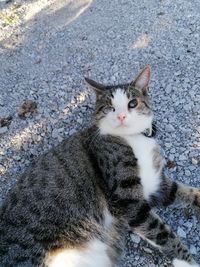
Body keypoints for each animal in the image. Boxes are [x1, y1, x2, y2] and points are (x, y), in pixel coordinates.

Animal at [0, 65, 200, 267]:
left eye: (133, 103)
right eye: (110, 107)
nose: (121, 116)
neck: (133, 137)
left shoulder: (157, 184)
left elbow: (185, 192)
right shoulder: (127, 200)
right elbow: (162, 234)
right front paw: (188, 261)